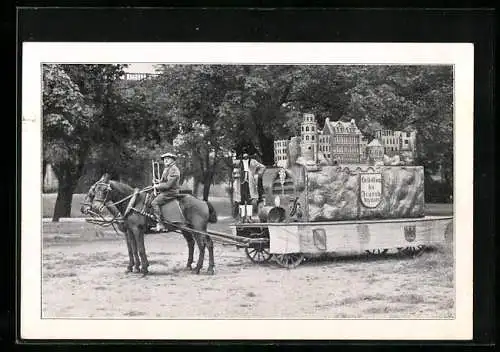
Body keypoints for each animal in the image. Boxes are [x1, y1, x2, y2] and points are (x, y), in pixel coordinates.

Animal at [80, 173, 217, 276]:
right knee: (198, 243)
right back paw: (200, 267)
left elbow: (140, 249)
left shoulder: (137, 230)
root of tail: (202, 201)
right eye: (94, 190)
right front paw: (134, 267)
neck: (132, 203)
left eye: (105, 190)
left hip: (197, 228)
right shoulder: (129, 231)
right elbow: (132, 250)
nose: (94, 207)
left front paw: (144, 269)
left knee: (203, 244)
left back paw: (200, 268)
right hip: (187, 229)